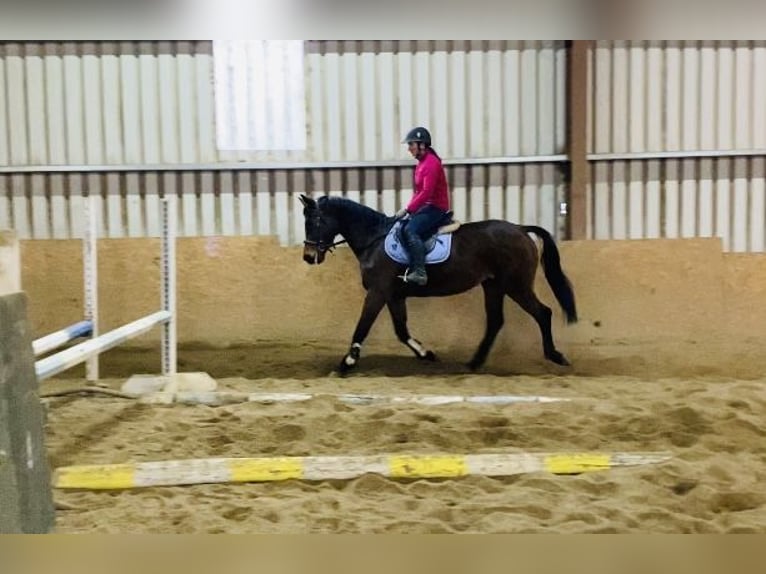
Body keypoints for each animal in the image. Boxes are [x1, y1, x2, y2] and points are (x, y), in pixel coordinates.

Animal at [300, 196, 576, 376]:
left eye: (315, 221)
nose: (308, 257)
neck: (373, 239)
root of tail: (519, 229)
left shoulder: (378, 293)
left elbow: (362, 327)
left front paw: (346, 363)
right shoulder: (393, 295)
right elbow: (401, 330)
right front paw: (426, 354)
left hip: (516, 285)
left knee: (543, 313)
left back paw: (555, 356)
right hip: (494, 286)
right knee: (496, 321)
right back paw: (474, 363)